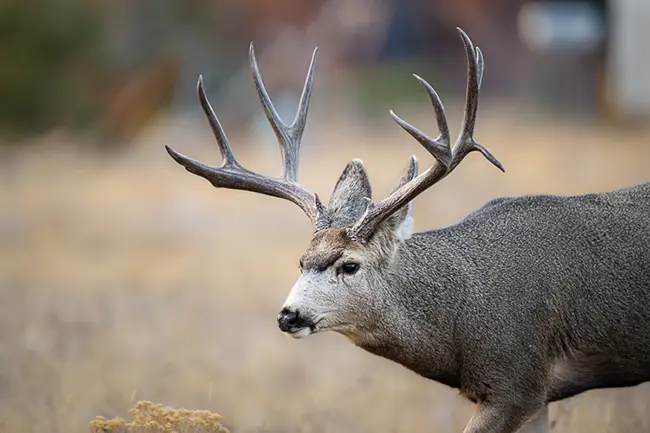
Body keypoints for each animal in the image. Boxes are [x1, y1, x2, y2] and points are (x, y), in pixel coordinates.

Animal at [165, 28, 650, 433]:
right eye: (300, 261)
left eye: (350, 265)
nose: (289, 315)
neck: (462, 316)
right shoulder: (538, 396)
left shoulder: (519, 379)